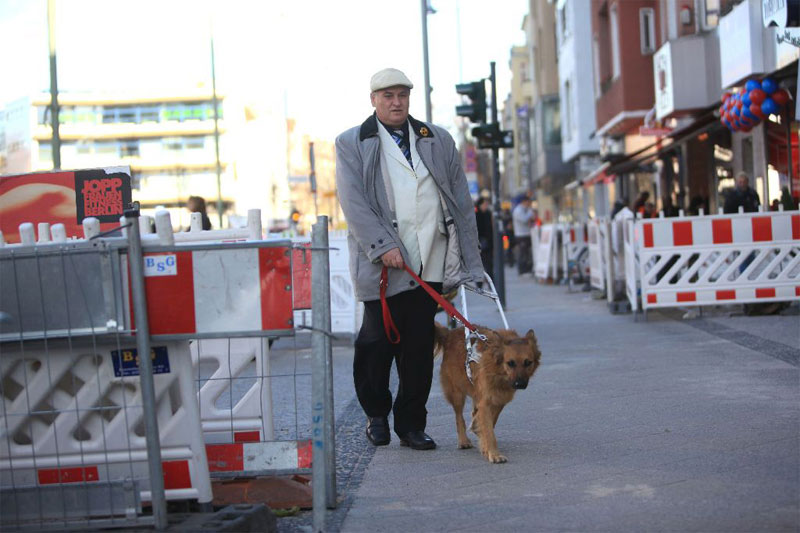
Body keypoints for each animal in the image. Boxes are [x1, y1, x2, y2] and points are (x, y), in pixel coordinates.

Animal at [434, 322, 540, 464]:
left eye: (528, 363)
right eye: (510, 363)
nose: (520, 384)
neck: (498, 373)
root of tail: (449, 334)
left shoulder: (498, 399)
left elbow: (489, 423)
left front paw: (484, 444)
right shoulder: (486, 401)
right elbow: (489, 431)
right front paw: (494, 454)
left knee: (474, 413)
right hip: (457, 394)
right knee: (459, 417)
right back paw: (463, 440)